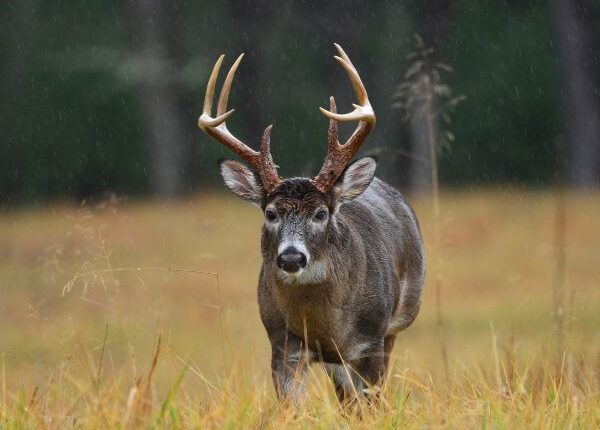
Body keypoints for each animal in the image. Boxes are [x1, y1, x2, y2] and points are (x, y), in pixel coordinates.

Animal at [199, 45, 424, 402]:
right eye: (271, 213)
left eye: (320, 213)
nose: (291, 257)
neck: (327, 327)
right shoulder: (283, 345)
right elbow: (293, 405)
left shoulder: (371, 342)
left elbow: (371, 403)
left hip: (394, 327)